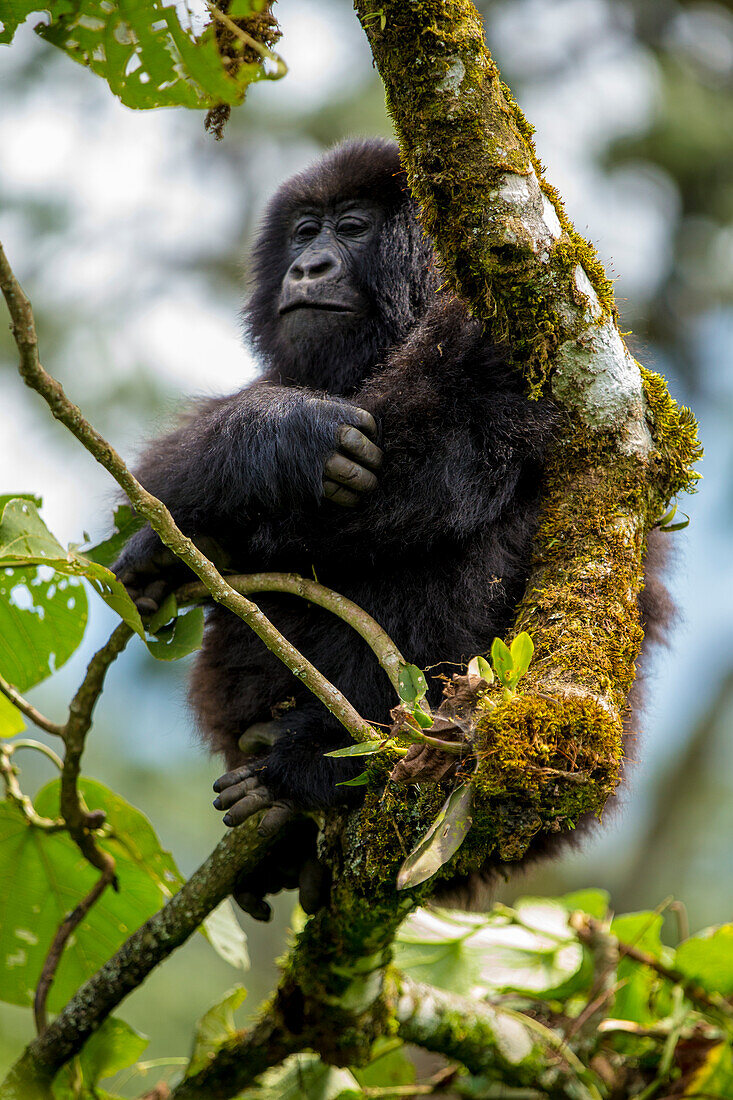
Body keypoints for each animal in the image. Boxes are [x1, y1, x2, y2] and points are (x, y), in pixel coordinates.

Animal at [114, 139, 669, 919]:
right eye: (304, 232)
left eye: (351, 228)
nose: (308, 267)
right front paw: (267, 443)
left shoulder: (504, 323)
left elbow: (420, 472)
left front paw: (281, 442)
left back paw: (314, 768)